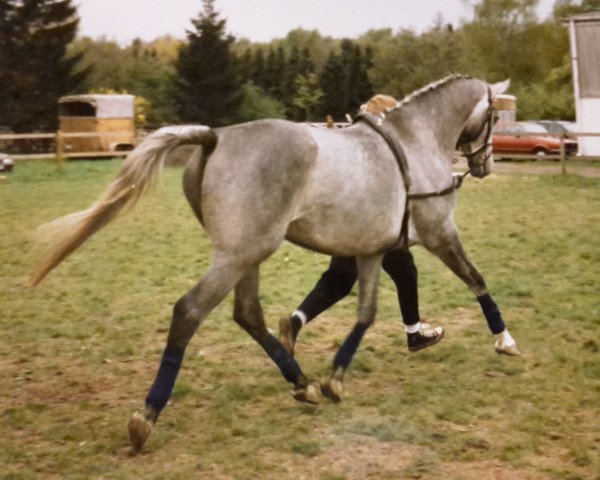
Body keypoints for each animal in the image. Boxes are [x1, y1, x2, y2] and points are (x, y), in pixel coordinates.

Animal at [35, 73, 516, 452]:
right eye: (496, 116)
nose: (486, 165)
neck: (416, 142)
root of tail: (215, 137)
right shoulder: (439, 233)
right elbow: (476, 279)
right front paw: (504, 339)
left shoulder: (371, 250)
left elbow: (366, 313)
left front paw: (335, 379)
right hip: (239, 255)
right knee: (189, 311)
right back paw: (147, 417)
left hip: (248, 255)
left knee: (248, 314)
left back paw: (302, 383)